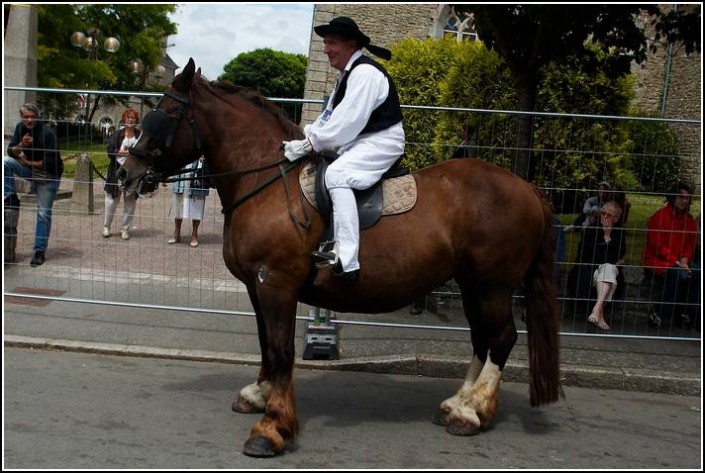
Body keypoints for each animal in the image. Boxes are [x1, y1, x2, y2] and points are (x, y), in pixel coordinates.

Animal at [122, 59, 560, 458]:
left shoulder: (276, 284)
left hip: (493, 287)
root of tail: (527, 188)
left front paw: (272, 427)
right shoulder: (257, 287)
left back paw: (474, 412)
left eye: (167, 113)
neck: (267, 183)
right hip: (472, 286)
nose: (127, 172)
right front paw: (260, 393)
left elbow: (281, 349)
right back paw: (458, 404)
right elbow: (265, 343)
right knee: (482, 339)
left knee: (501, 338)